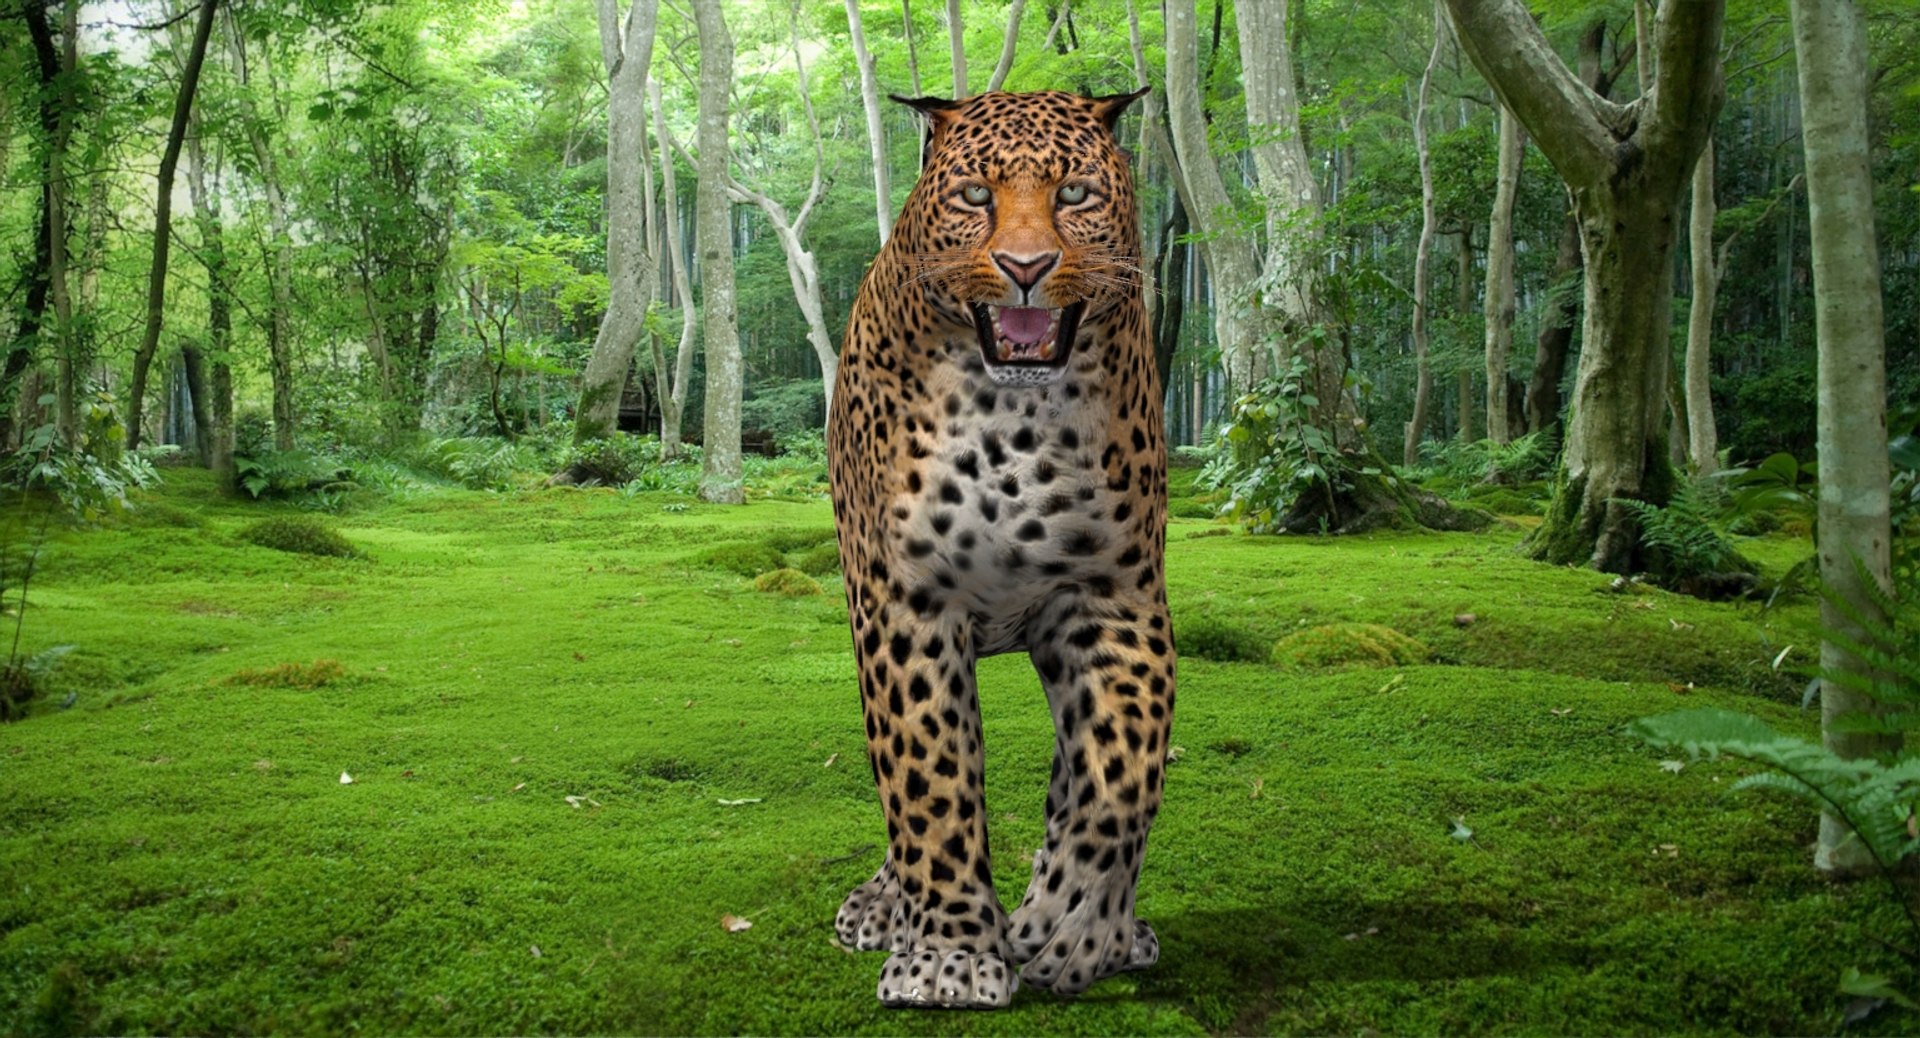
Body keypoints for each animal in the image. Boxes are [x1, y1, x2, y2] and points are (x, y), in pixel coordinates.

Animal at [825, 88, 1174, 1009]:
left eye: (1076, 193)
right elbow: (930, 778)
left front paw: (1073, 927)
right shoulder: (907, 606)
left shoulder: (1116, 597)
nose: (1025, 265)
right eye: (976, 196)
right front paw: (947, 957)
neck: (1015, 418)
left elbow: (1120, 774)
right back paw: (885, 904)